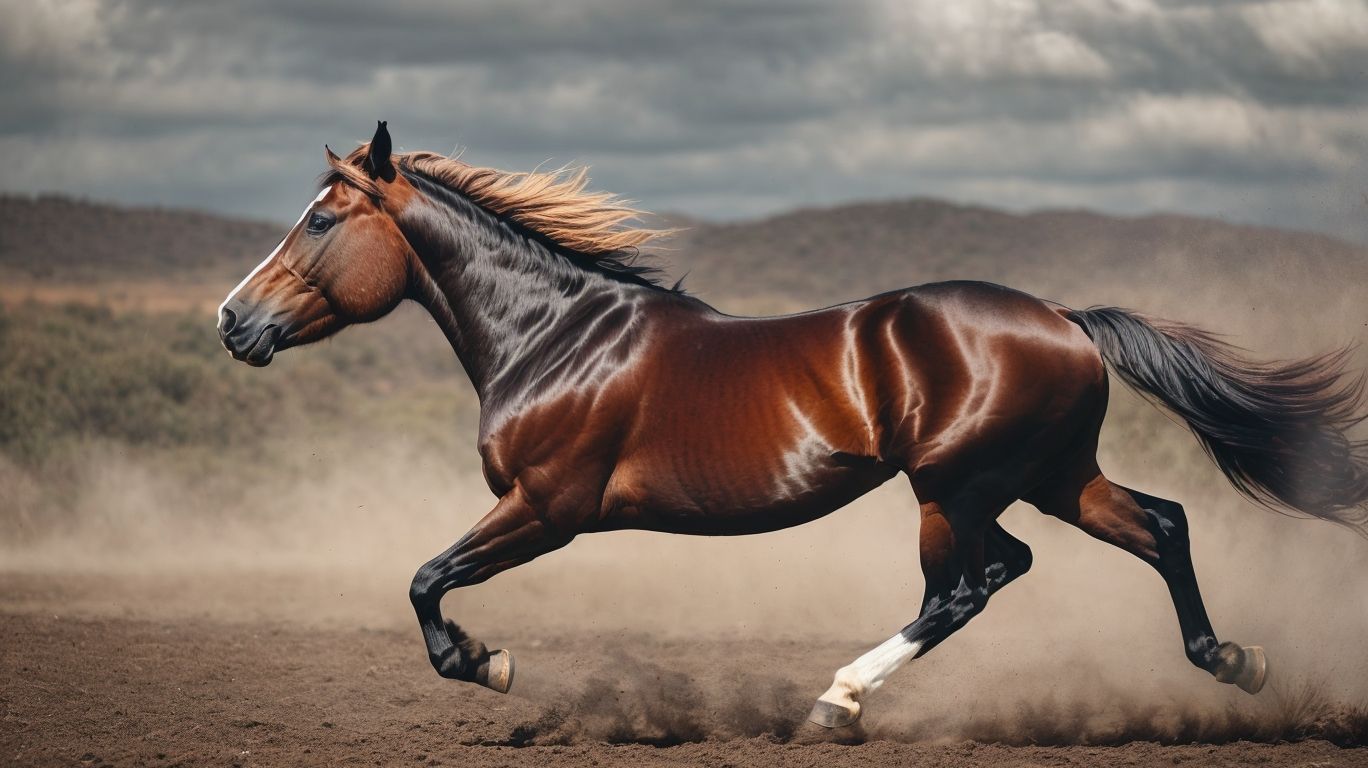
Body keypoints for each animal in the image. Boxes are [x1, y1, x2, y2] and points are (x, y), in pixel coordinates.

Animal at [218, 121, 1368, 728]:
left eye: (319, 221)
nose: (231, 321)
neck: (555, 336)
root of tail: (1064, 321)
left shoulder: (546, 508)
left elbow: (424, 579)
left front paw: (487, 662)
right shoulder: (535, 510)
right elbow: (426, 579)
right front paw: (486, 659)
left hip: (954, 487)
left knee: (966, 588)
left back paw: (840, 699)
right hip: (1045, 476)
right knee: (1154, 527)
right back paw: (1235, 661)